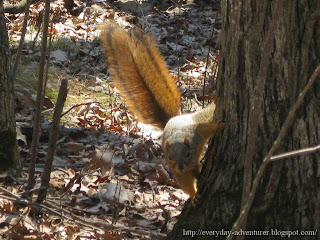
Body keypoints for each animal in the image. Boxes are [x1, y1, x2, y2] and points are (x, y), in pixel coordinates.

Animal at [101, 22, 224, 200]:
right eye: (170, 157)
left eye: (187, 154)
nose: (180, 166)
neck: (179, 138)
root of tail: (171, 120)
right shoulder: (178, 170)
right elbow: (185, 181)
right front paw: (193, 195)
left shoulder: (197, 133)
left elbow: (206, 128)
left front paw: (218, 126)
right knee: (194, 171)